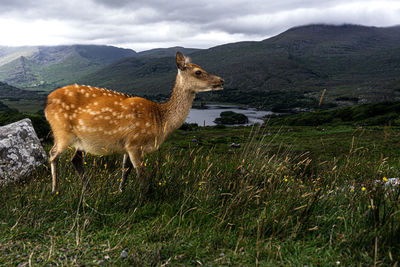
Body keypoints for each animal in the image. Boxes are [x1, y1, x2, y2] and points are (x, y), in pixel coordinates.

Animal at [45, 52, 223, 195]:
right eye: (198, 72)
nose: (221, 80)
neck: (160, 119)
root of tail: (47, 102)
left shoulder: (127, 145)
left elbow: (126, 169)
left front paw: (120, 191)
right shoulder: (135, 142)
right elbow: (142, 175)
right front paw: (143, 198)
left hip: (81, 140)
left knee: (75, 159)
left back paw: (88, 191)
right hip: (61, 131)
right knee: (53, 154)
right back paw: (55, 190)